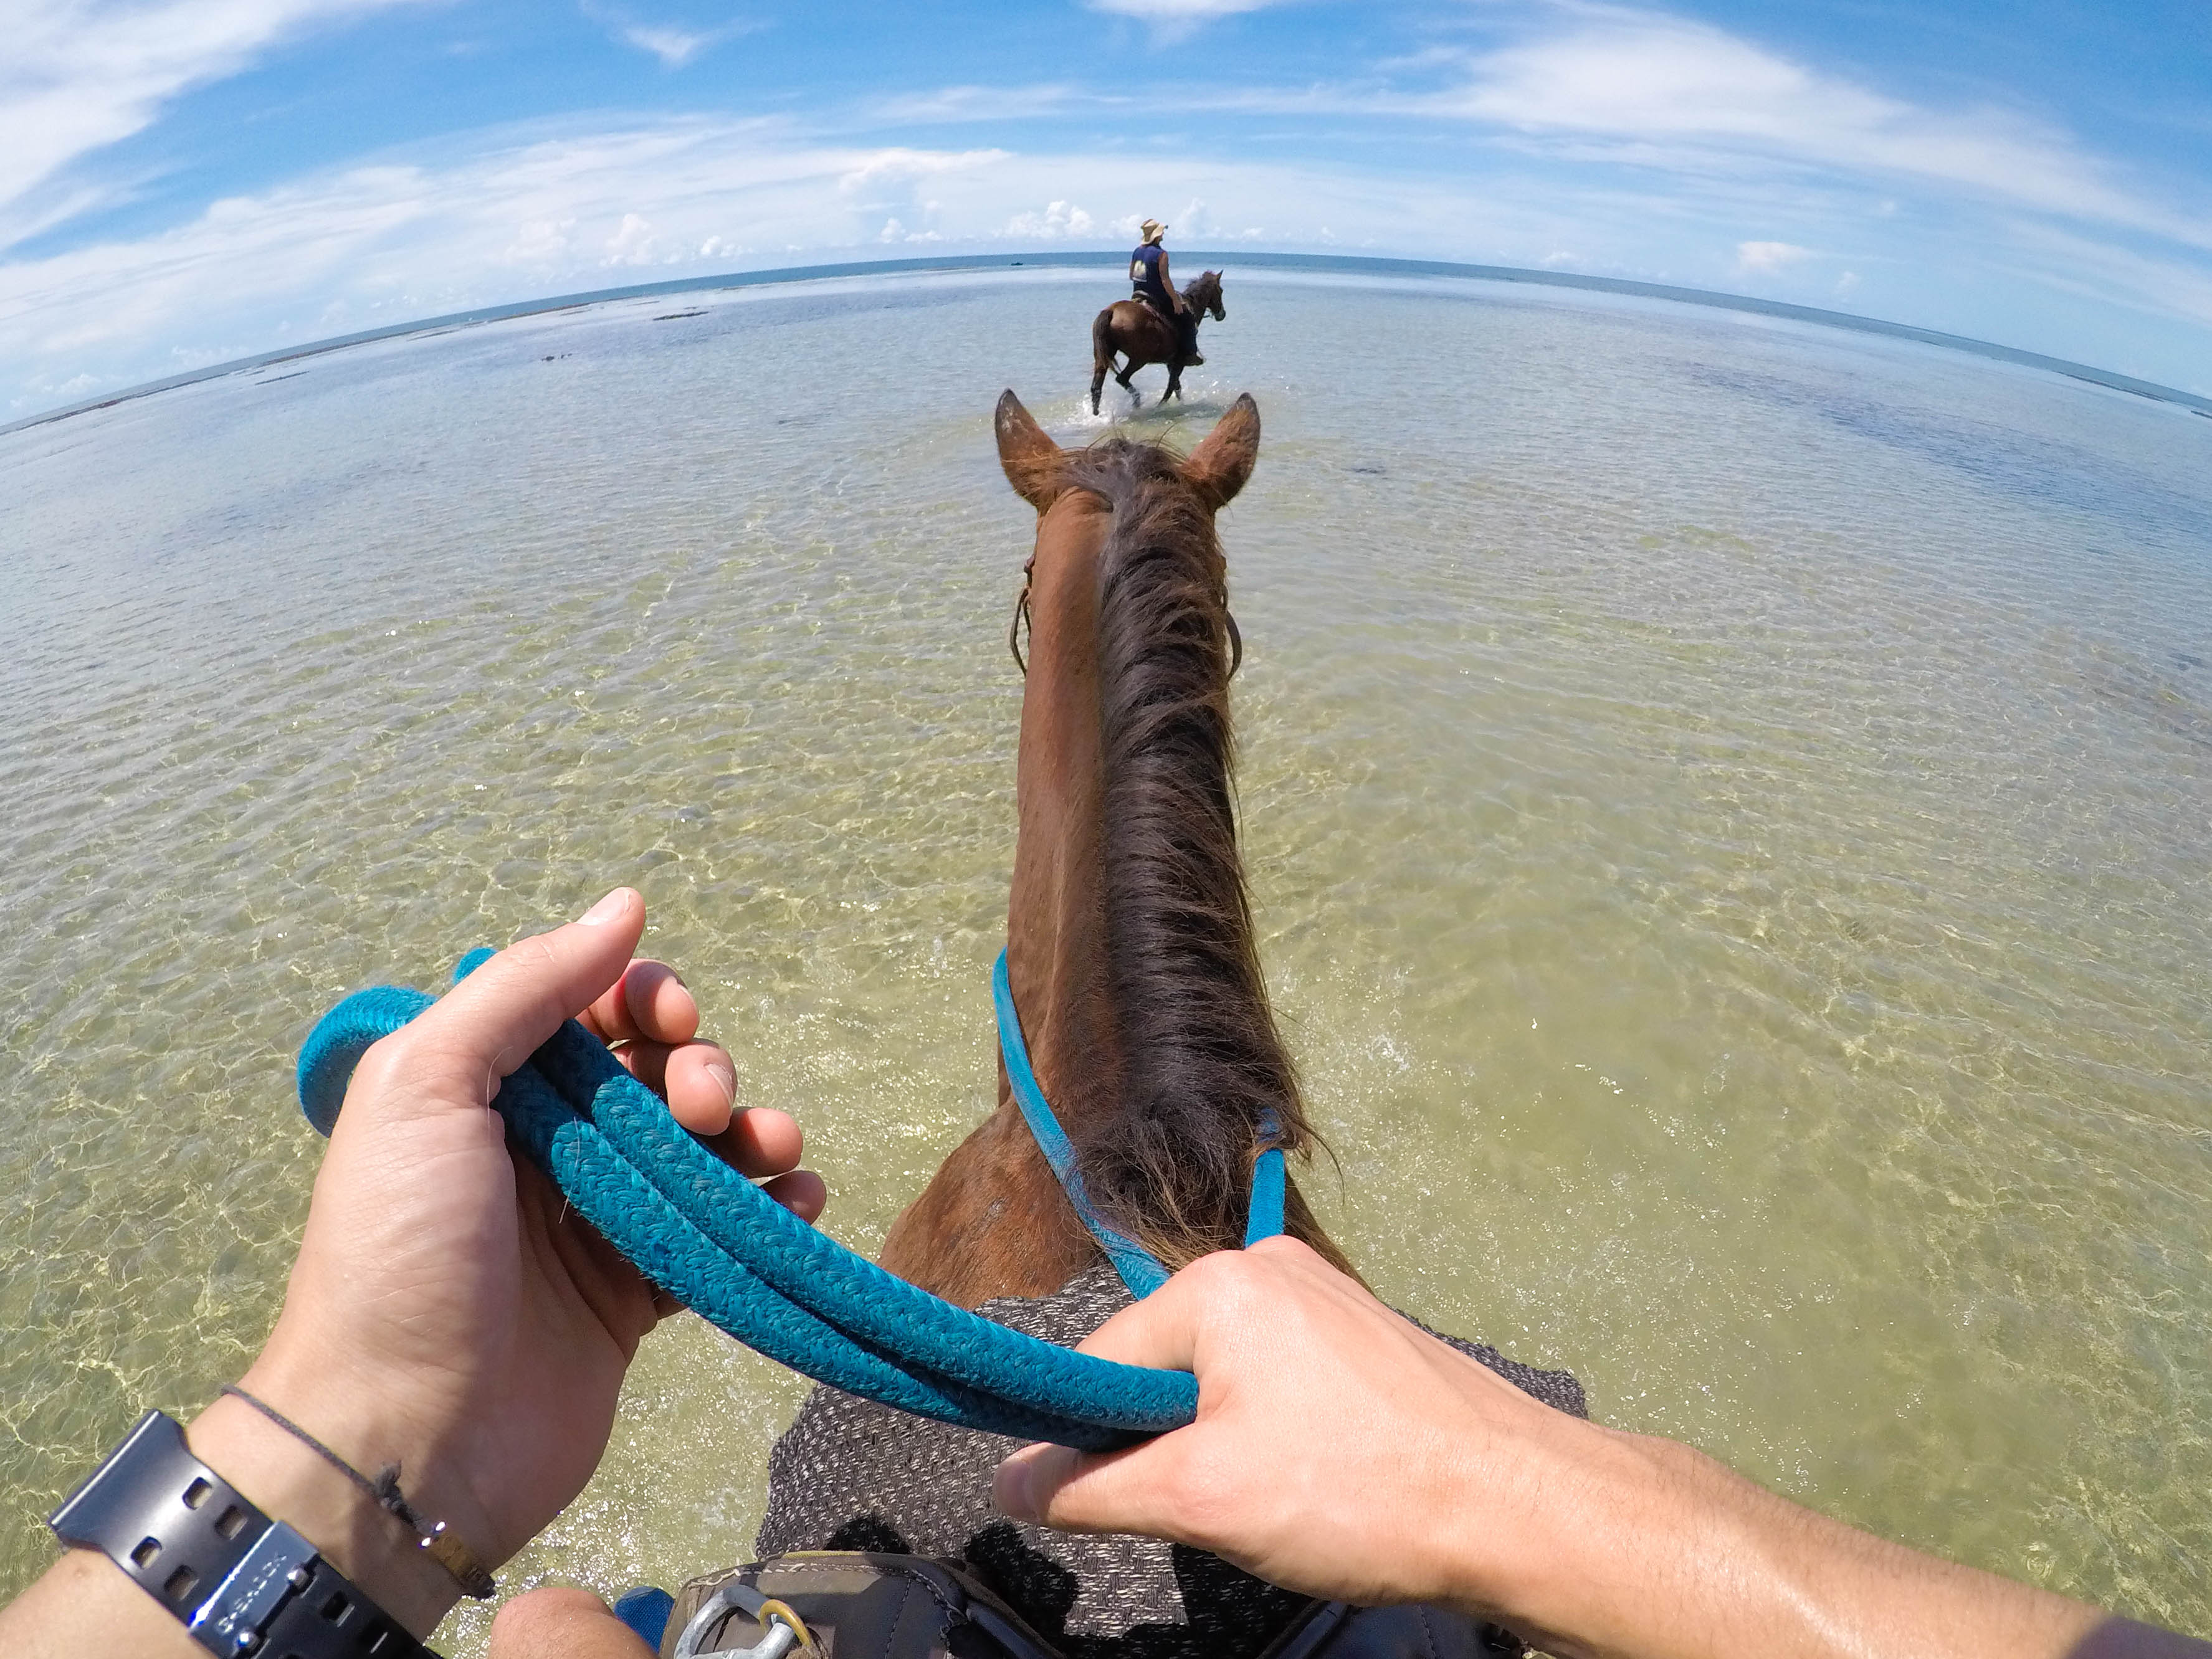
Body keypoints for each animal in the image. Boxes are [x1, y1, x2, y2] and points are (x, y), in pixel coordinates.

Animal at [1088, 270, 1229, 413]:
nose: (1222, 314)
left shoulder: (1171, 363)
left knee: (1097, 386)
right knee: (1122, 378)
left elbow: (1177, 387)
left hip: (1104, 356)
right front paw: (1161, 406)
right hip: (1138, 360)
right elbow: (1172, 387)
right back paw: (1138, 402)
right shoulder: (1179, 363)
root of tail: (1112, 311)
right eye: (1221, 291)